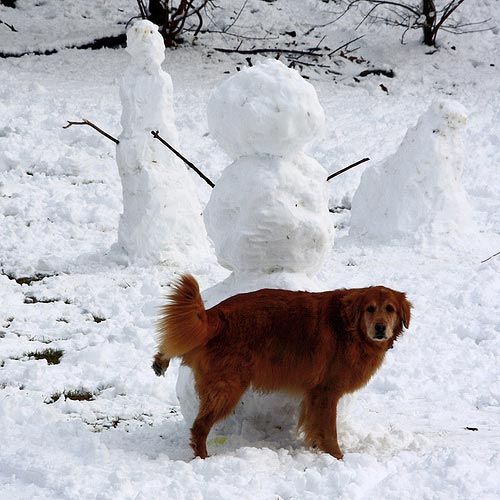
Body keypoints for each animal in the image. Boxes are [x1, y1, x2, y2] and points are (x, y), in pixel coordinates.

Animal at [152, 276, 410, 458]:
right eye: (370, 308)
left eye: (390, 309)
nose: (380, 328)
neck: (350, 327)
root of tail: (215, 314)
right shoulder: (326, 392)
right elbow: (328, 430)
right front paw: (336, 457)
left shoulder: (314, 395)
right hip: (227, 389)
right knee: (199, 427)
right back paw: (203, 458)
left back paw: (160, 359)